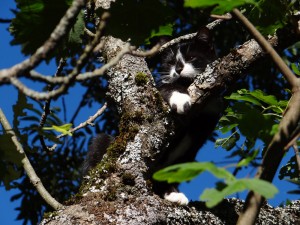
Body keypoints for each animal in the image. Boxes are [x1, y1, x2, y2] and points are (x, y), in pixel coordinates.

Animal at [81, 26, 220, 206]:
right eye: (170, 63)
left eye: (191, 57)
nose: (178, 69)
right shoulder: (159, 92)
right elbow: (164, 88)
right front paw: (180, 98)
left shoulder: (207, 122)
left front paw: (170, 192)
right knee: (99, 142)